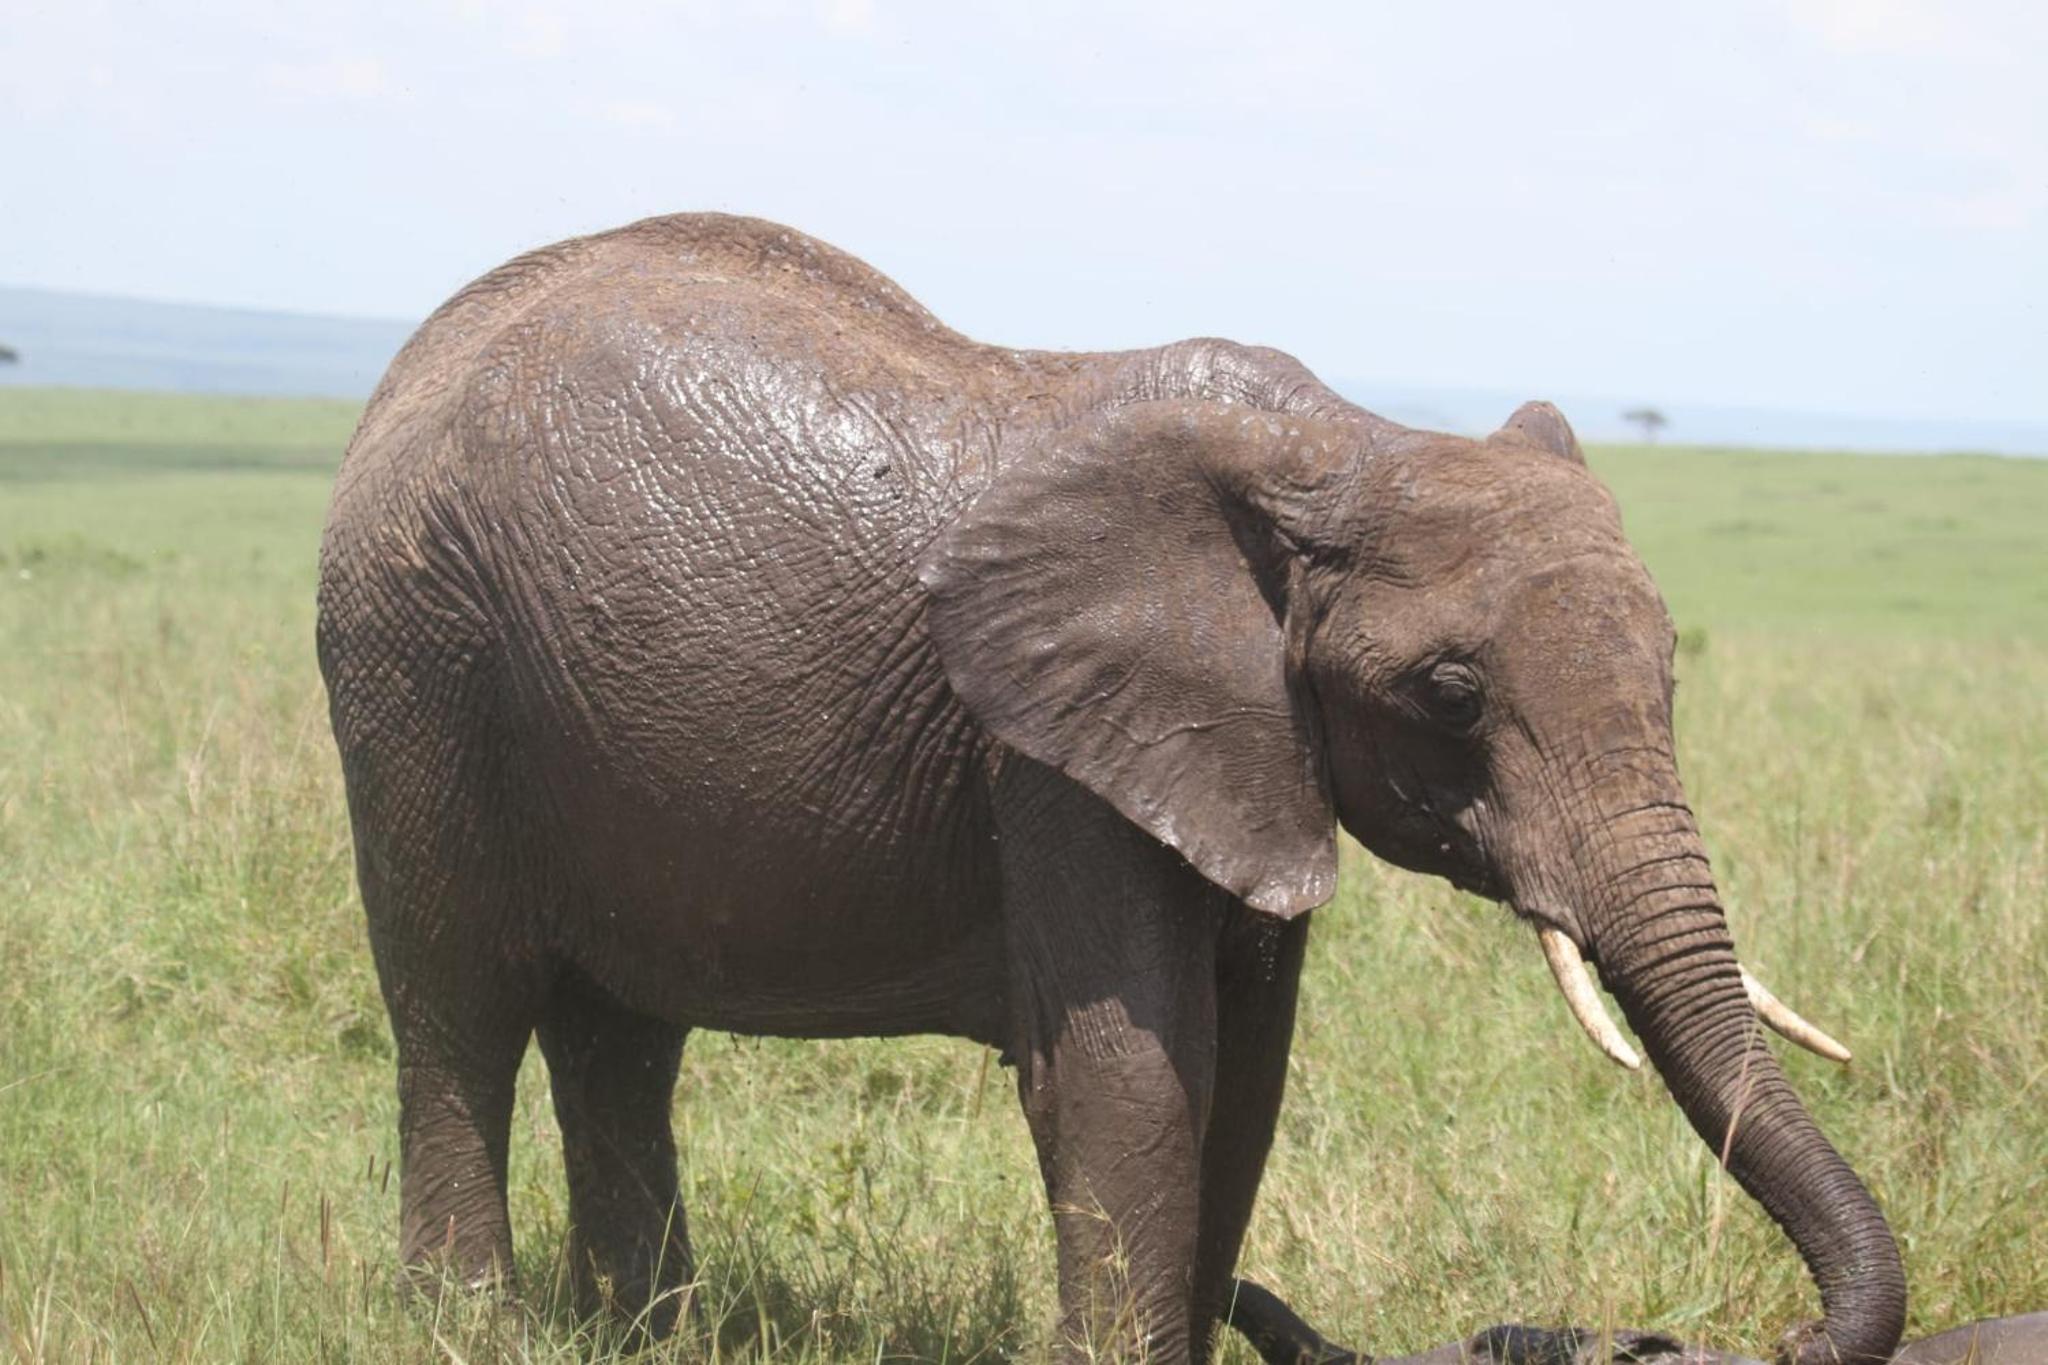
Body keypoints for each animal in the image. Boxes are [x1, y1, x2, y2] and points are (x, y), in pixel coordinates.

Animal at [317, 213, 1903, 1364]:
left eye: (1674, 673)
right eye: (1451, 695)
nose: (1762, 1337)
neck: (1339, 448)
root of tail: (412, 363)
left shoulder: (1236, 749)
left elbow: (1247, 1075)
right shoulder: (1047, 758)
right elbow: (1133, 1072)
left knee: (622, 1038)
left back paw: (656, 1337)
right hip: (417, 665)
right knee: (460, 1010)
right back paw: (471, 1330)